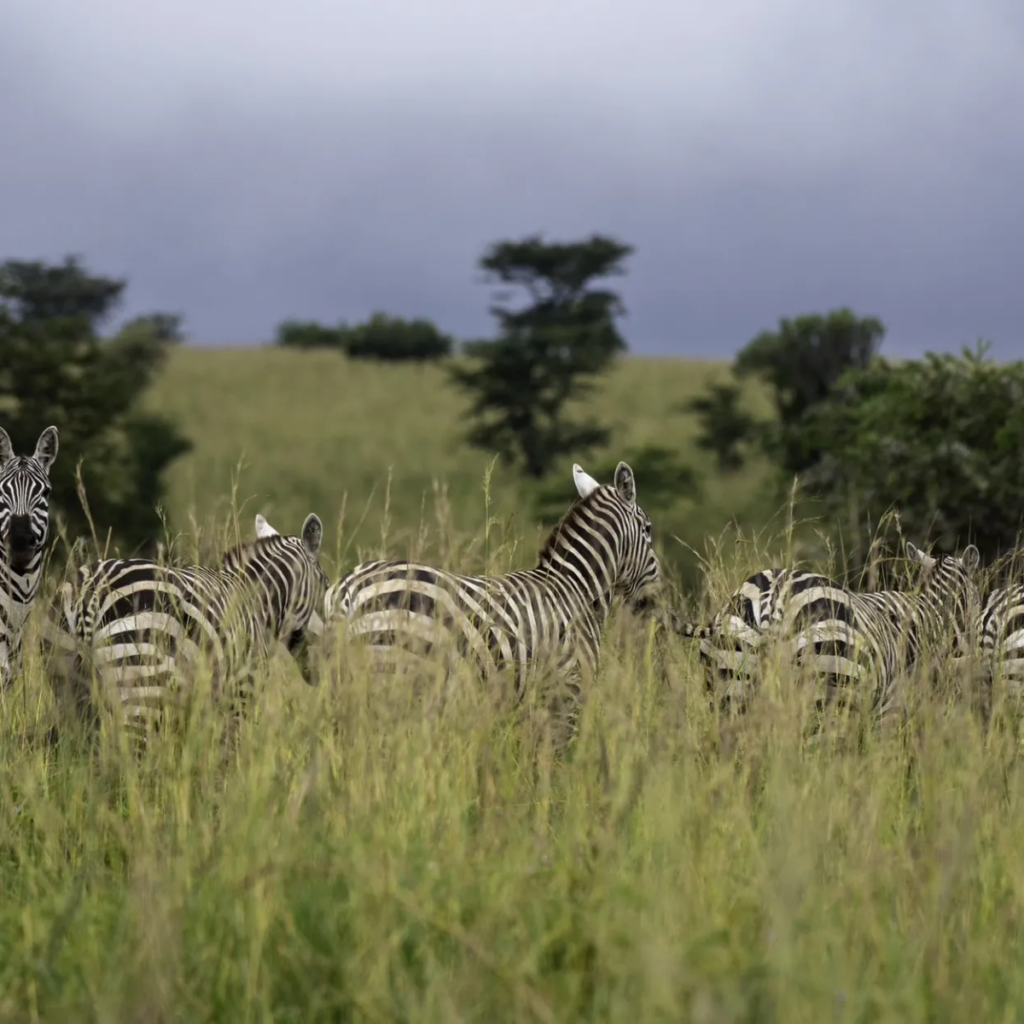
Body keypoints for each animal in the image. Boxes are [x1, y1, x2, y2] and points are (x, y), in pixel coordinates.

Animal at [48, 511, 328, 746]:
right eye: (325, 584)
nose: (323, 660)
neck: (256, 598)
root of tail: (91, 590)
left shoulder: (191, 705)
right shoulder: (241, 691)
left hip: (69, 689)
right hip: (139, 686)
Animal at [320, 460, 662, 749]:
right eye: (648, 529)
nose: (656, 597)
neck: (575, 587)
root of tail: (350, 589)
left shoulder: (530, 701)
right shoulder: (568, 692)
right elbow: (553, 763)